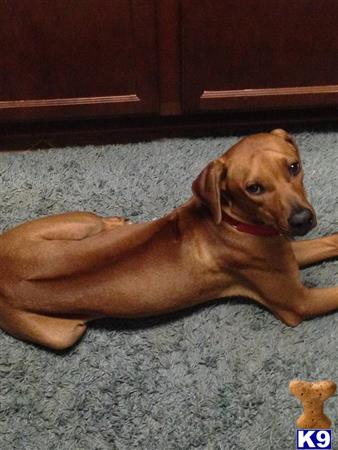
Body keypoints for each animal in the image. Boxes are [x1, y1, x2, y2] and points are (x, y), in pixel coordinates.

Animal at [0, 128, 338, 350]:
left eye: (294, 167)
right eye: (253, 188)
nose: (302, 220)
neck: (235, 222)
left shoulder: (287, 251)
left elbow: (329, 241)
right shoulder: (298, 303)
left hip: (69, 226)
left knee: (98, 222)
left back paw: (116, 223)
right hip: (63, 335)